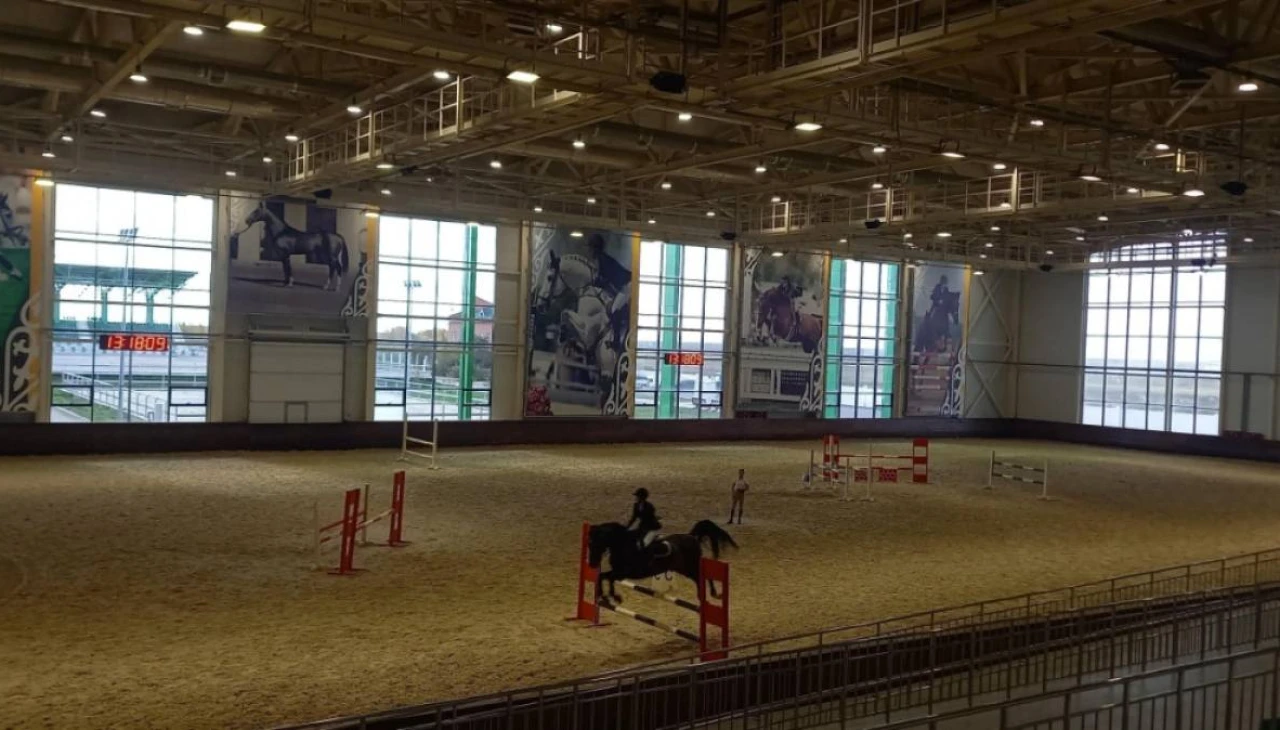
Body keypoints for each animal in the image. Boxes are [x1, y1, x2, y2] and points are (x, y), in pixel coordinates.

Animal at [586, 520, 737, 605]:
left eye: (596, 544)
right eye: (589, 544)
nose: (592, 564)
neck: (622, 544)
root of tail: (692, 536)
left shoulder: (624, 573)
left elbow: (609, 578)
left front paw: (614, 597)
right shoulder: (618, 572)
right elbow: (603, 576)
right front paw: (604, 596)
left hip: (691, 567)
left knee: (703, 577)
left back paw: (712, 594)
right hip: (686, 569)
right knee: (700, 578)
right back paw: (707, 596)